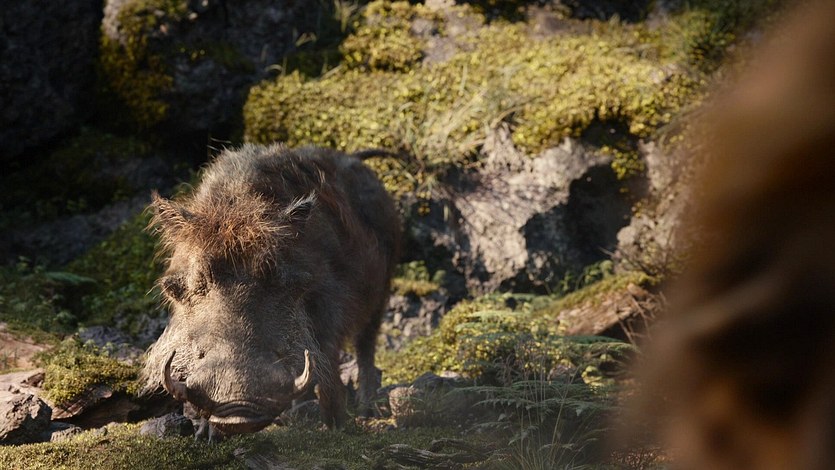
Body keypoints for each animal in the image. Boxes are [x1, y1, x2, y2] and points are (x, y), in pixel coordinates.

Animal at [142, 143, 401, 437]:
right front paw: (207, 435)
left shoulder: (328, 308)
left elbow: (328, 367)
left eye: (275, 274)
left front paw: (337, 427)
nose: (239, 415)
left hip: (382, 291)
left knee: (365, 347)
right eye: (196, 283)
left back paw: (366, 410)